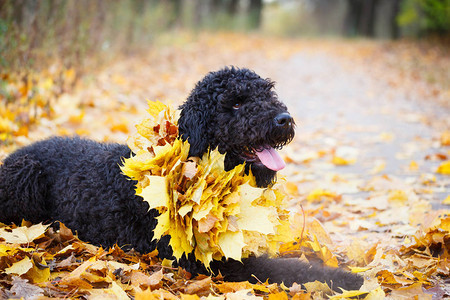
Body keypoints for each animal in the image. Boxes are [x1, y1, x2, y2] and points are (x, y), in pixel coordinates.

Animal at [0, 67, 364, 290]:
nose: (284, 119)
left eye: (268, 92)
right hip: (26, 178)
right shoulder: (218, 264)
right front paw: (351, 281)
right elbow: (294, 269)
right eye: (235, 103)